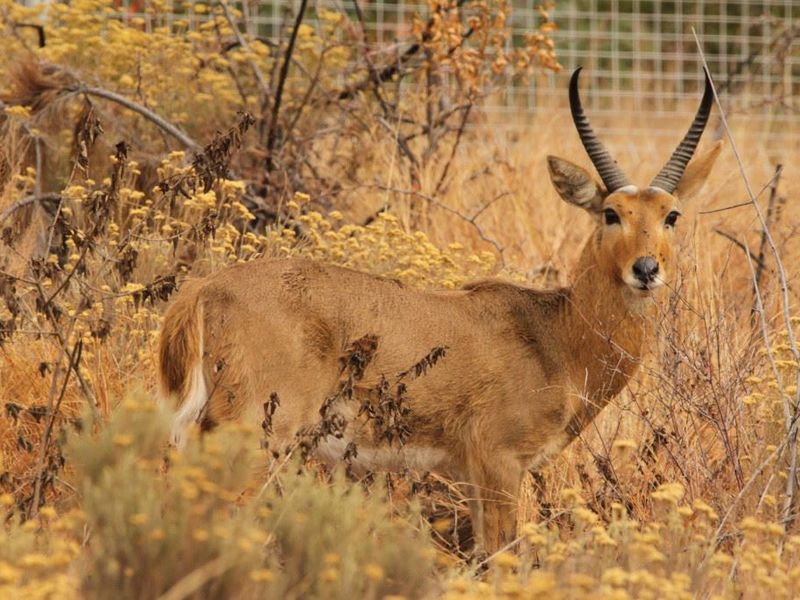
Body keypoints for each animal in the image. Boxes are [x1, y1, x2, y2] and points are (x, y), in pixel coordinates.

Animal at [158, 68, 722, 553]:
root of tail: (203, 290)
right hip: (257, 437)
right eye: (610, 213)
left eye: (671, 214)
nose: (645, 269)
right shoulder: (498, 464)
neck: (556, 337)